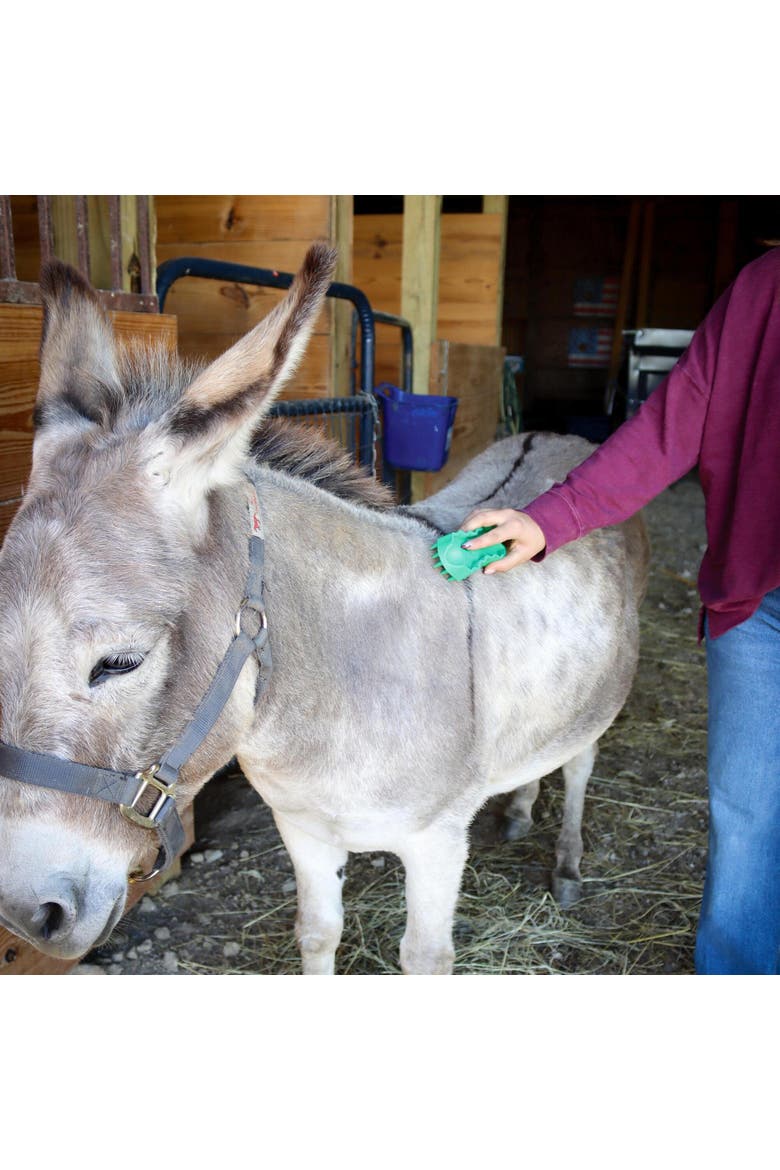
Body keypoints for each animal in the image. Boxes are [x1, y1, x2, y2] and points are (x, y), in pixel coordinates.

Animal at [0, 243, 648, 973]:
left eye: (119, 664)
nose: (24, 914)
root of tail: (552, 434)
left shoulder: (436, 842)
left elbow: (424, 957)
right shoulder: (303, 828)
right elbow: (317, 933)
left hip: (598, 703)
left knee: (580, 766)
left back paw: (566, 863)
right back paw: (518, 807)